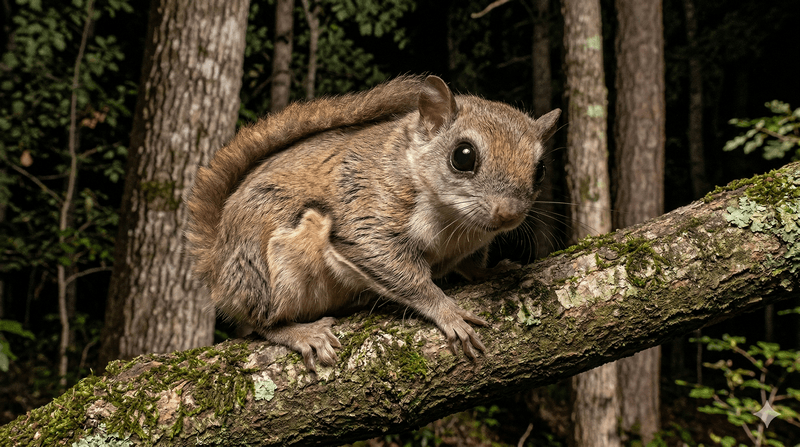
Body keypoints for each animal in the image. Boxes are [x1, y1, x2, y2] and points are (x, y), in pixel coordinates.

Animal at [186, 75, 561, 371]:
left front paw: (492, 271)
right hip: (272, 268)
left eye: (541, 169)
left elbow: (472, 266)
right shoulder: (367, 207)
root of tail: (217, 268)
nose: (508, 214)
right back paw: (302, 333)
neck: (457, 224)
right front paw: (448, 313)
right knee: (261, 321)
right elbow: (401, 272)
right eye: (463, 156)